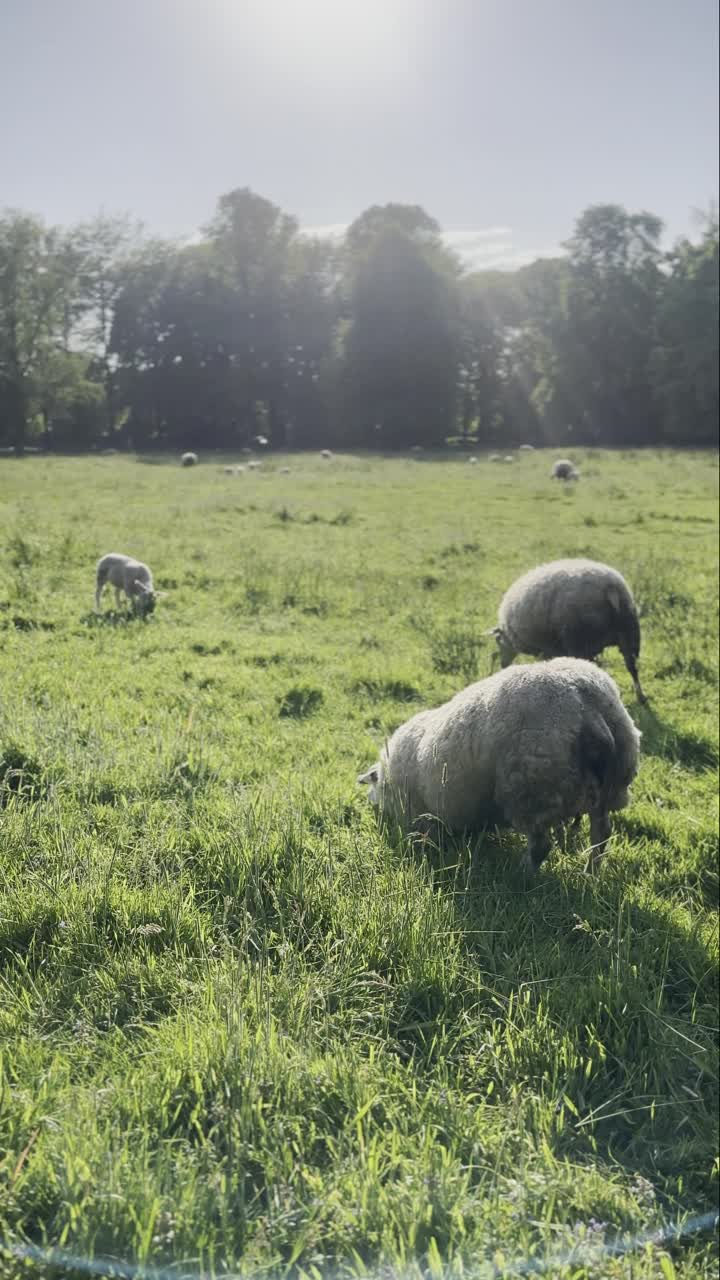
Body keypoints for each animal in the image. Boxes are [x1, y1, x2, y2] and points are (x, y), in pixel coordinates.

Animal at [358, 655, 638, 875]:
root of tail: (586, 701)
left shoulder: (422, 816)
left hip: (531, 789)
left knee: (540, 846)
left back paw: (522, 874)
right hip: (608, 787)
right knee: (601, 834)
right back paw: (590, 873)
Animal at [486, 558, 645, 701]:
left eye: (498, 642)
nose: (503, 665)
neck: (510, 636)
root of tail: (611, 587)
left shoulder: (548, 648)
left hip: (578, 637)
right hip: (628, 631)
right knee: (632, 667)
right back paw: (641, 696)